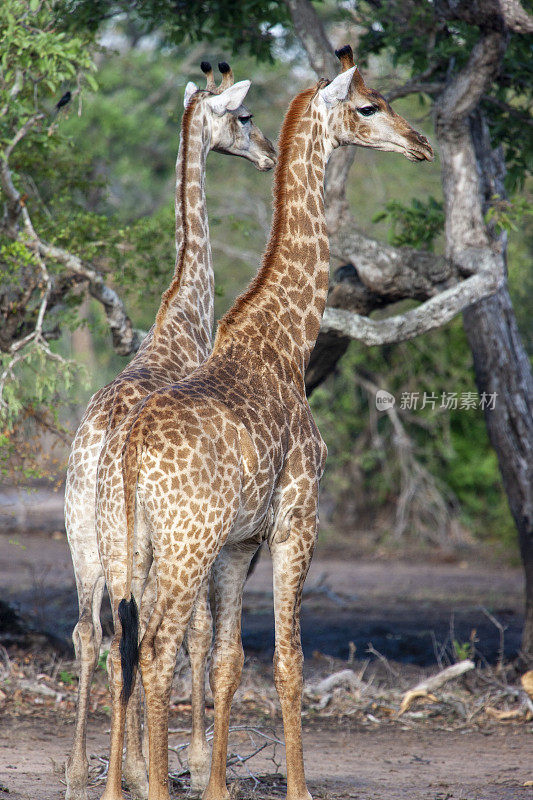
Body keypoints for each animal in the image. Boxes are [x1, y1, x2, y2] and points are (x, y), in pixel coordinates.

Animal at [93, 45, 430, 800]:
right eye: (369, 106)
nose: (421, 143)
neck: (286, 343)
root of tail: (126, 450)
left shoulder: (240, 542)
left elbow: (227, 662)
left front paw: (217, 784)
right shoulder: (298, 518)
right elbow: (287, 660)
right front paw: (299, 787)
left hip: (134, 543)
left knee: (122, 642)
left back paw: (114, 785)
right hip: (183, 543)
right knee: (154, 647)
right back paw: (153, 785)